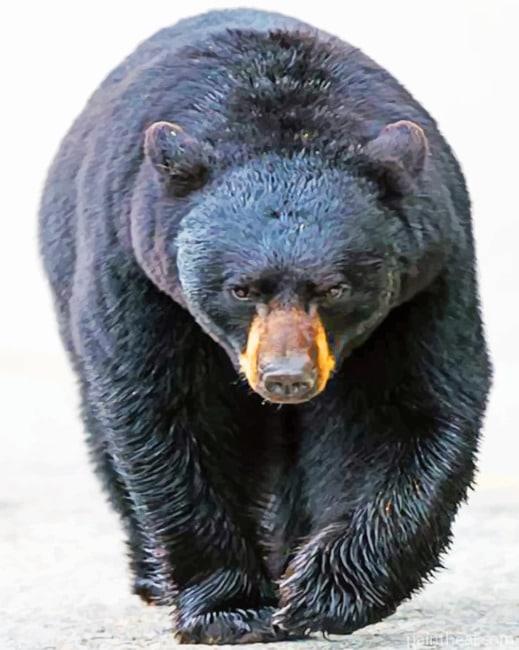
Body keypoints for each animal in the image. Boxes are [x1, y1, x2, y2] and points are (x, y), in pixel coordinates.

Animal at [39, 8, 492, 645]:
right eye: (240, 289)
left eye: (334, 288)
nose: (285, 377)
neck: (283, 122)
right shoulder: (137, 274)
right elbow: (172, 415)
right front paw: (231, 608)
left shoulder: (425, 280)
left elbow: (408, 409)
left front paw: (323, 593)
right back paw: (155, 576)